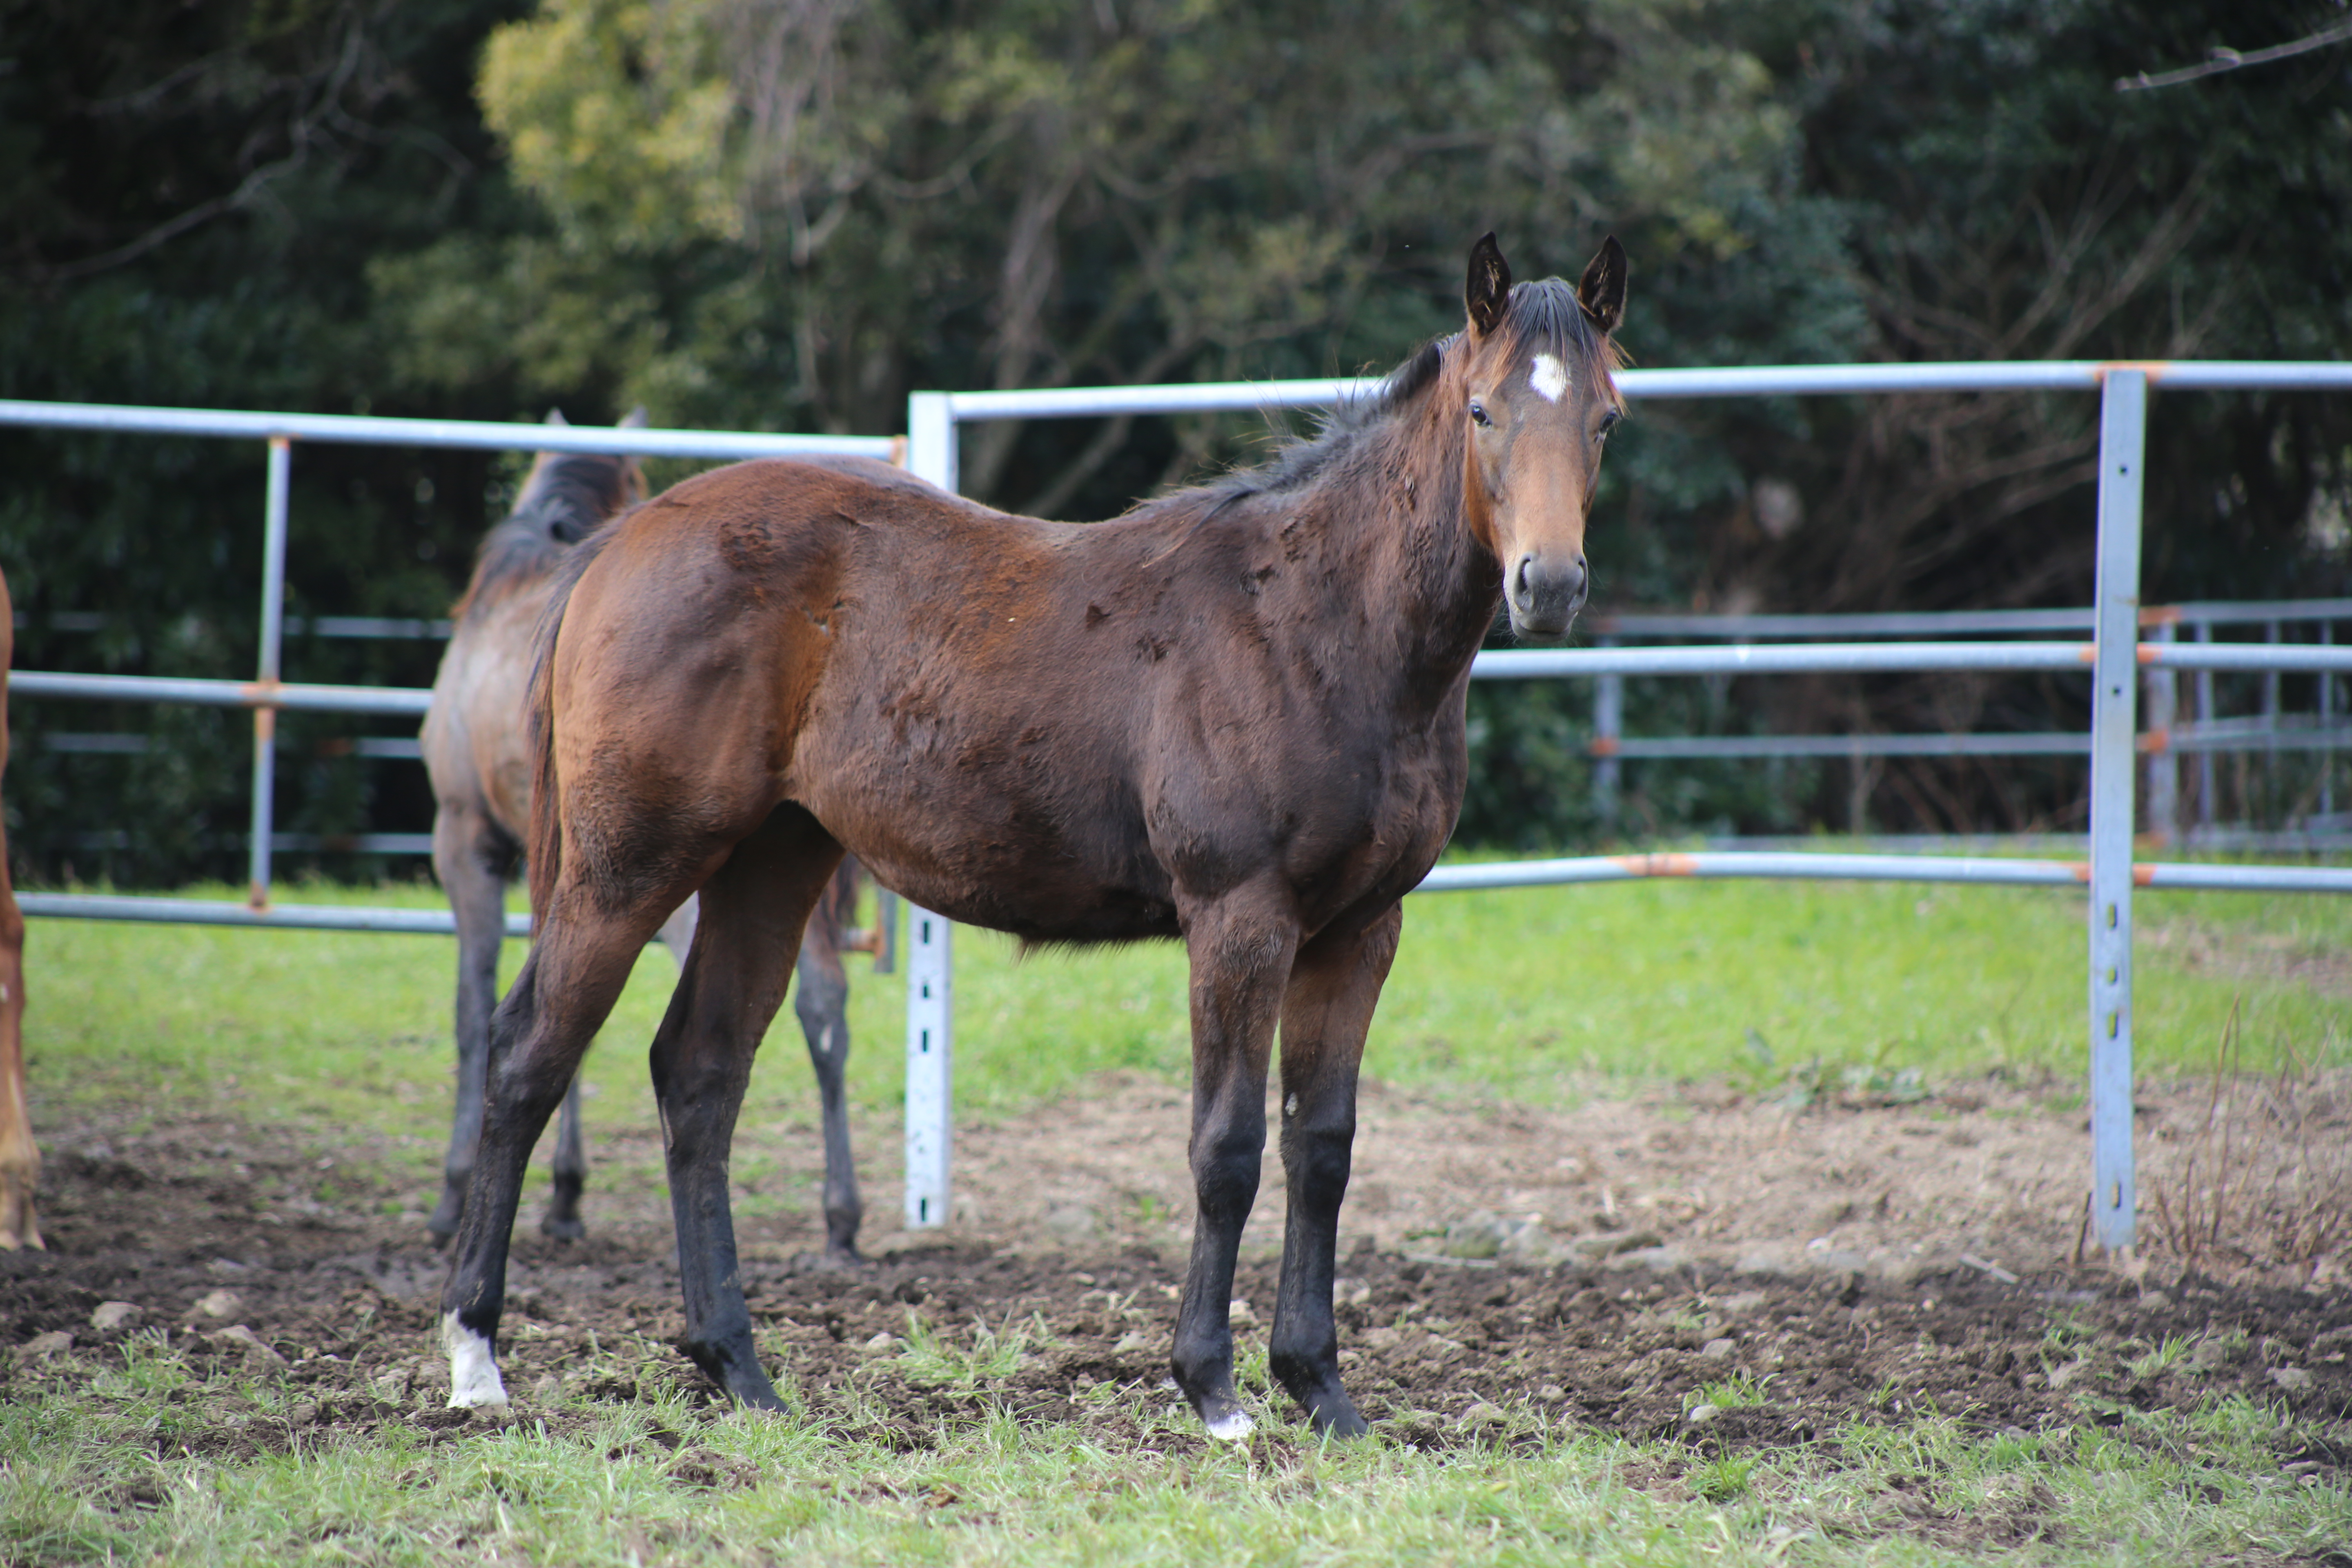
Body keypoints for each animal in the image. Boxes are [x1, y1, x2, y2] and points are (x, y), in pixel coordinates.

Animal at [419, 423, 884, 1260]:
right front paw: (564, 1193)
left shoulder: (467, 839)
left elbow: (475, 1012)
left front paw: (458, 1193)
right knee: (823, 1006)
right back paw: (841, 1219)